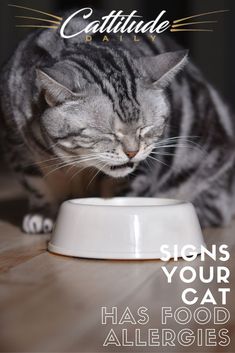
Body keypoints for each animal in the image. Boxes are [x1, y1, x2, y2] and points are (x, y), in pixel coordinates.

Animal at [0, 8, 235, 232]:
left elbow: (126, 192)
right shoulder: (17, 144)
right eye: (107, 134)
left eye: (146, 129)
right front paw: (43, 214)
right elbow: (38, 184)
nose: (132, 152)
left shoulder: (144, 165)